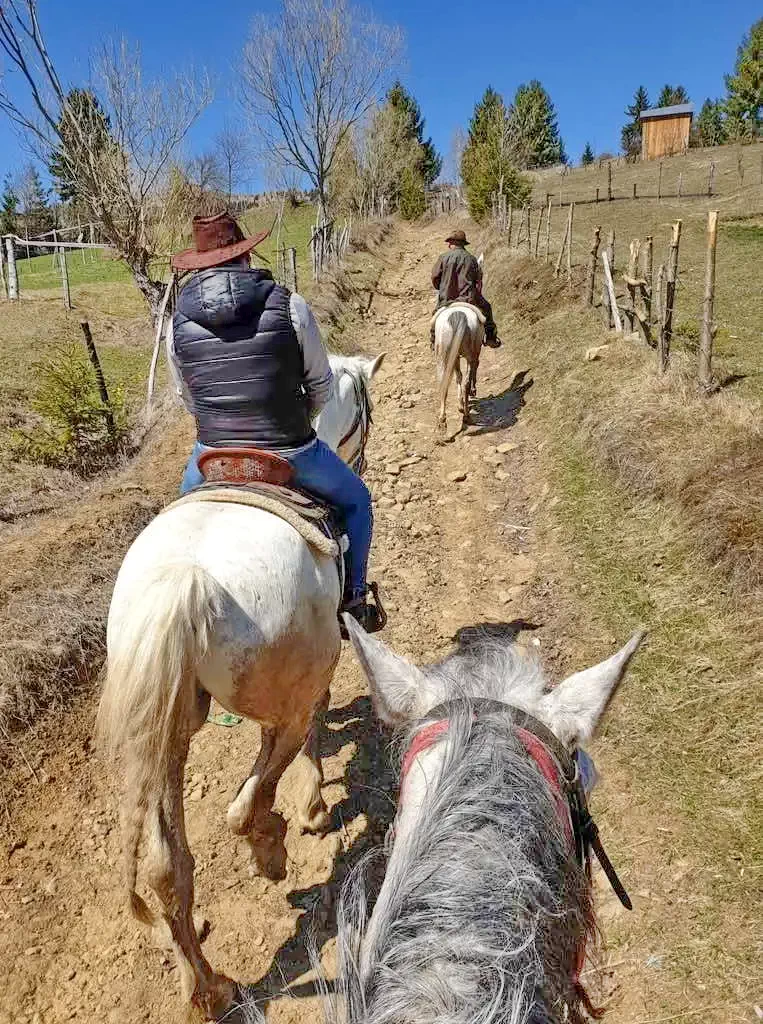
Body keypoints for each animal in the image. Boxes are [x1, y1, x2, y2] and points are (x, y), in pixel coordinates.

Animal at [98, 350, 383, 1015]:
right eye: (364, 409)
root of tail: (183, 583)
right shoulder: (322, 659)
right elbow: (315, 719)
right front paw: (311, 806)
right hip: (280, 693)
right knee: (253, 787)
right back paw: (274, 843)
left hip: (167, 732)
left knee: (165, 867)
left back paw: (208, 988)